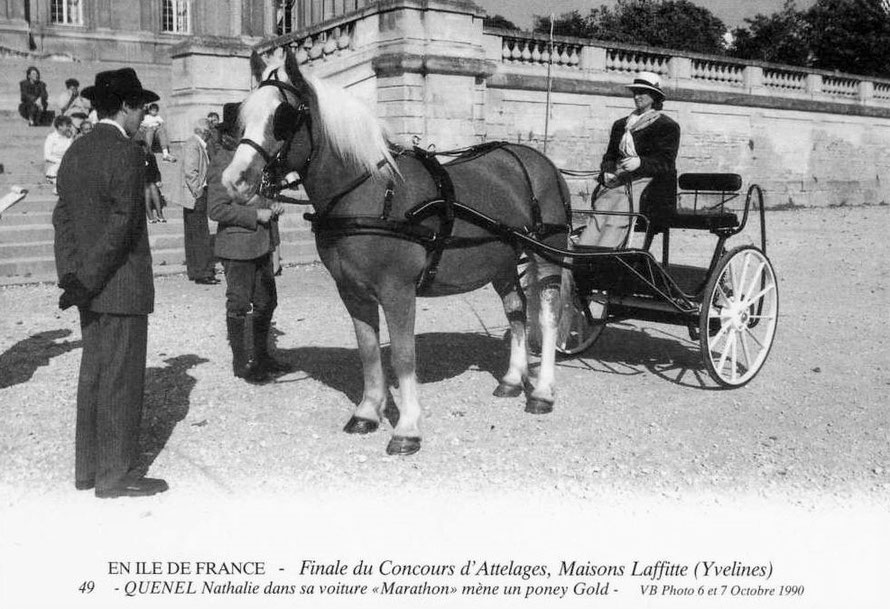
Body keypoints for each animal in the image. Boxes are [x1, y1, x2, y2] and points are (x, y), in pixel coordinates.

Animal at [222, 47, 568, 454]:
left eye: (283, 117)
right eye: (243, 117)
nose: (235, 180)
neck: (370, 194)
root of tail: (538, 160)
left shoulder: (397, 291)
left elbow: (403, 357)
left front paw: (407, 427)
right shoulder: (352, 291)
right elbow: (369, 351)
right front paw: (368, 412)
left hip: (547, 253)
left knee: (547, 316)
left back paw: (542, 392)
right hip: (501, 261)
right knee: (516, 309)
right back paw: (513, 379)